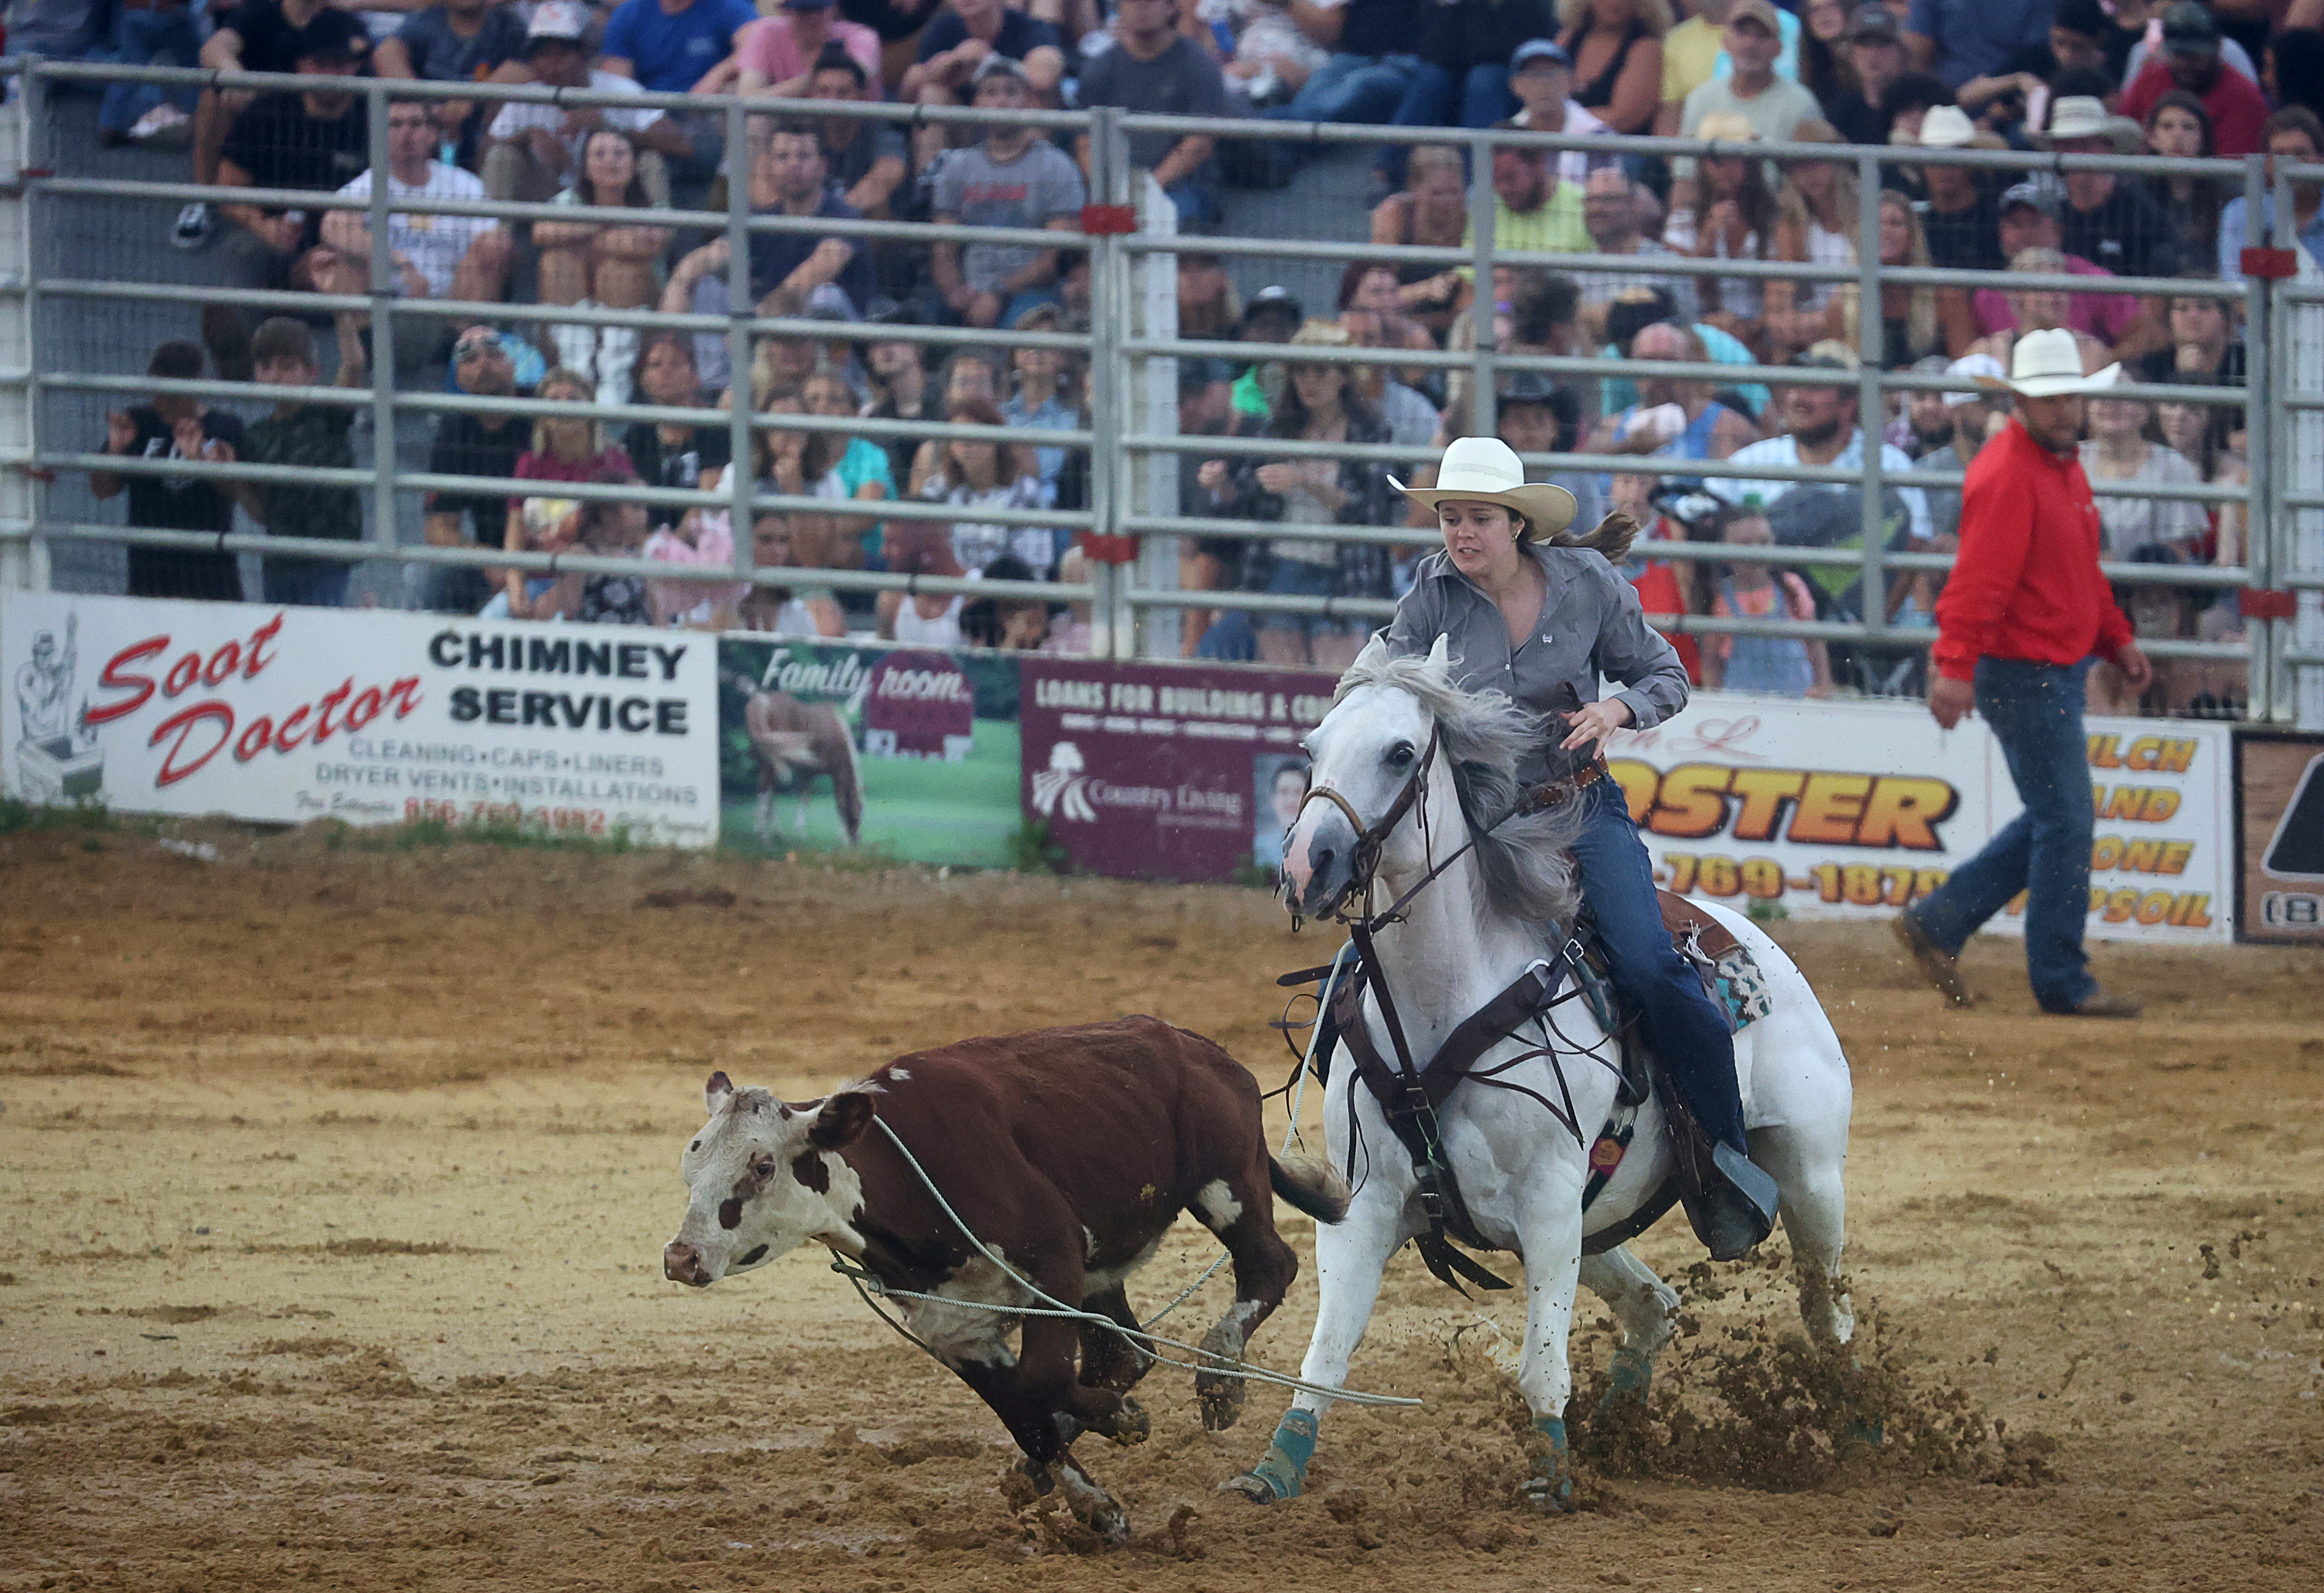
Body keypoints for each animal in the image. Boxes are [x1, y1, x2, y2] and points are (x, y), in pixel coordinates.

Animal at [664, 1014, 1348, 1544]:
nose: (680, 1257)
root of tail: (1205, 1049)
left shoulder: (1056, 1256)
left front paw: (1121, 1418)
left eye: (761, 1165)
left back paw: (1220, 1375)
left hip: (1227, 1182)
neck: (906, 1177)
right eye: (690, 1164)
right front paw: (1096, 1505)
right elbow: (1026, 1411)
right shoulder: (954, 1327)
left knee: (1268, 1266)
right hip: (1106, 1268)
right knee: (1126, 1349)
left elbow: (1041, 1381)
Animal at [1236, 632, 1850, 1507]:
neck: (1442, 1004)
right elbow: (1323, 1356)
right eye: (1312, 745)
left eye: (1399, 752)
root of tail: (1756, 943)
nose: (1304, 864)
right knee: (1655, 1307)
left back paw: (1866, 1425)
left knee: (1828, 1314)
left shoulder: (1548, 1201)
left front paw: (1552, 1478)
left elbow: (1539, 1367)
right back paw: (1614, 1432)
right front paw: (1274, 1469)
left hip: (1806, 1175)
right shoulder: (1365, 1205)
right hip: (1598, 1223)